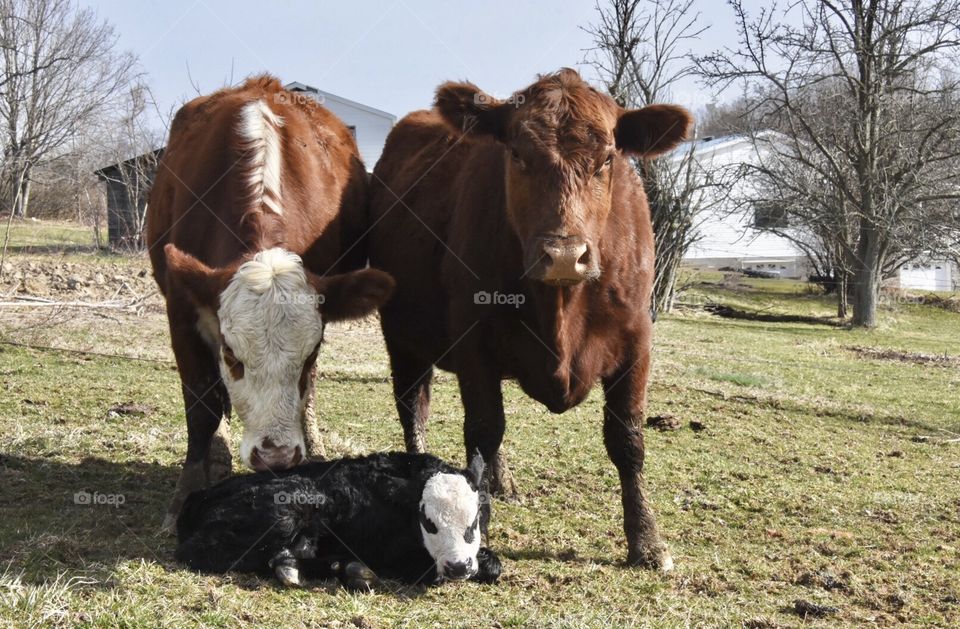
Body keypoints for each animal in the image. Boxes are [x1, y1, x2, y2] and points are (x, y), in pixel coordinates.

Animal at [147, 77, 394, 528]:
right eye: (232, 353)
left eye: (309, 354)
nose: (276, 457)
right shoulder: (181, 309)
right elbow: (201, 404)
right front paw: (186, 493)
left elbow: (306, 390)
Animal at [368, 68, 688, 568]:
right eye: (516, 154)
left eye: (607, 159)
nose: (564, 255)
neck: (561, 307)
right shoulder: (474, 341)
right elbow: (483, 431)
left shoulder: (637, 342)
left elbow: (628, 441)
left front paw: (648, 543)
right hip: (402, 336)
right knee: (412, 406)